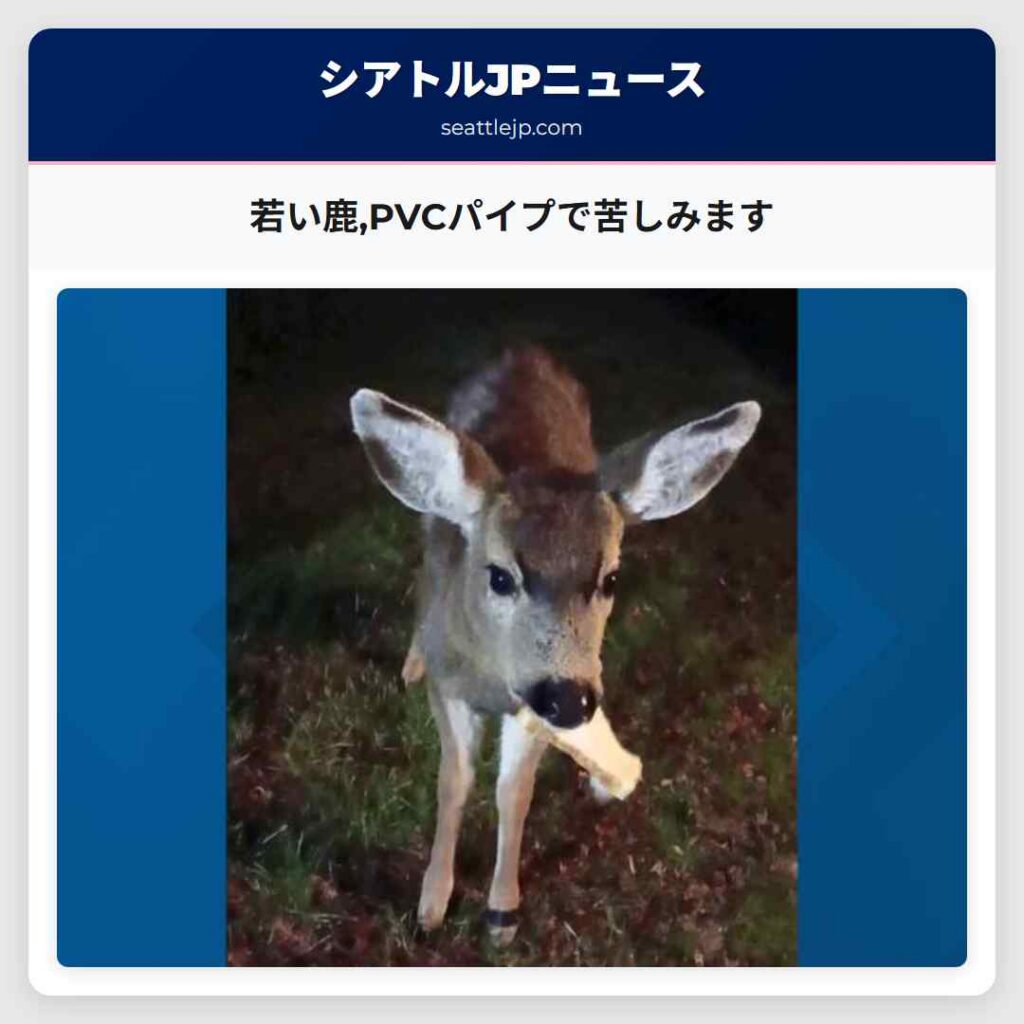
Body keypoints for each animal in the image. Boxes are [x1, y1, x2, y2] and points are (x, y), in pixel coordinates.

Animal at [350, 347, 760, 945]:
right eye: (500, 576)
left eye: (611, 579)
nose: (571, 699)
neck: (490, 676)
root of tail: (522, 351)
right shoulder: (452, 687)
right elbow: (454, 782)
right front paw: (431, 903)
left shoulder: (530, 706)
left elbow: (513, 792)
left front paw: (502, 912)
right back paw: (412, 659)